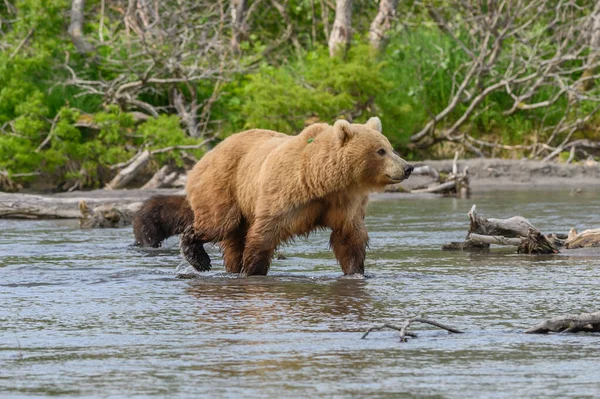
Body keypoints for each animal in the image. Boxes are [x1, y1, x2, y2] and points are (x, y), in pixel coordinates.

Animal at [180, 117, 412, 276]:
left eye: (391, 148)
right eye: (380, 151)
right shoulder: (285, 195)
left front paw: (356, 271)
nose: (408, 167)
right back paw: (198, 258)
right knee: (219, 223)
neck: (322, 181)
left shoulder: (344, 203)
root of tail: (208, 154)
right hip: (224, 186)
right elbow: (264, 234)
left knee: (233, 241)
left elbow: (349, 238)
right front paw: (254, 270)